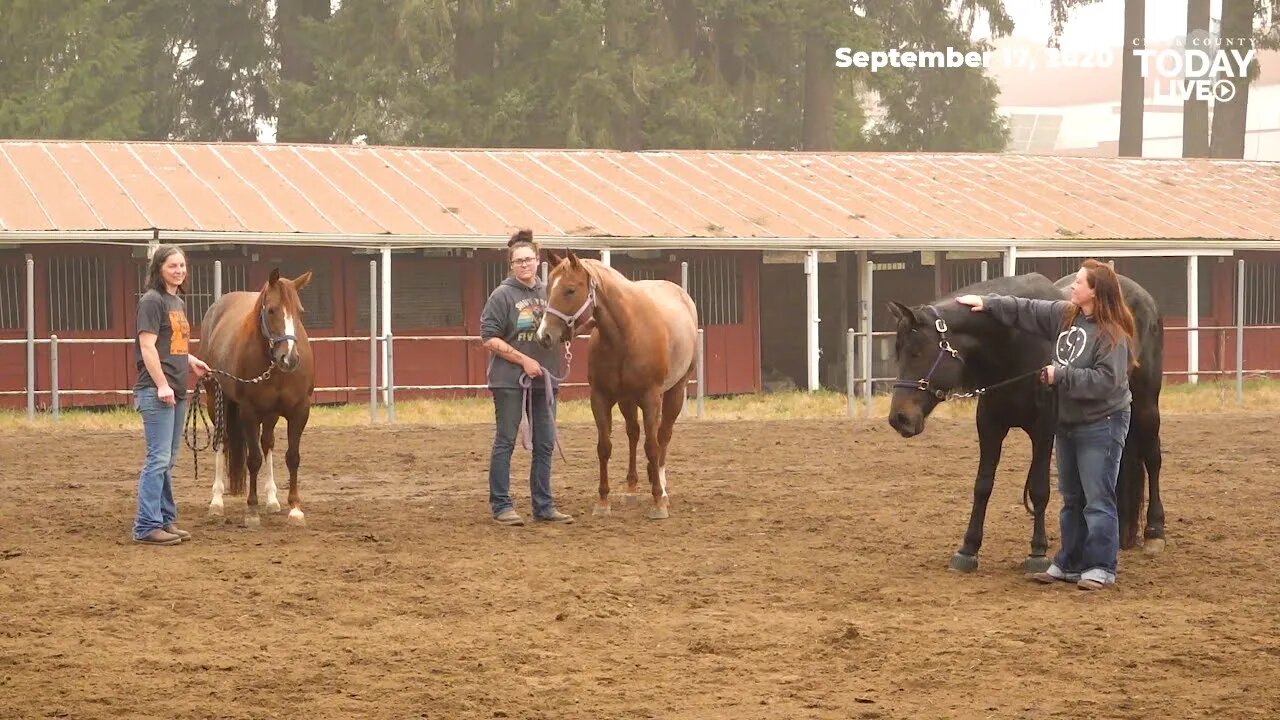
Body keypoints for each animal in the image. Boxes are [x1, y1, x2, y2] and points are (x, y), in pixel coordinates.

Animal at [203, 269, 318, 527]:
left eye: (300, 312)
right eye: (272, 310)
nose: (289, 358)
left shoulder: (299, 411)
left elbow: (292, 457)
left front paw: (295, 509)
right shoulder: (249, 411)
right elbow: (253, 459)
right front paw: (252, 510)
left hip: (270, 414)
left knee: (267, 443)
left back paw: (272, 500)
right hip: (216, 401)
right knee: (222, 441)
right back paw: (216, 501)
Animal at [537, 249, 706, 517]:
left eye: (570, 290)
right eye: (548, 288)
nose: (544, 335)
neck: (627, 335)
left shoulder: (650, 397)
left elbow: (652, 445)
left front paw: (658, 502)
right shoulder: (600, 397)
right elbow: (604, 446)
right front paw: (602, 501)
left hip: (675, 392)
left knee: (663, 436)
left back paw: (662, 488)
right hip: (628, 400)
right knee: (633, 434)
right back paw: (632, 487)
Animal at [885, 269, 1167, 571]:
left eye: (917, 352)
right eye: (898, 353)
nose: (899, 418)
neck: (1014, 345)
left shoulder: (1043, 430)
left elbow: (1039, 490)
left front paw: (1037, 552)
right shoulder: (989, 426)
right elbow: (982, 486)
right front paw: (968, 549)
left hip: (1146, 408)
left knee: (1153, 460)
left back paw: (1154, 532)